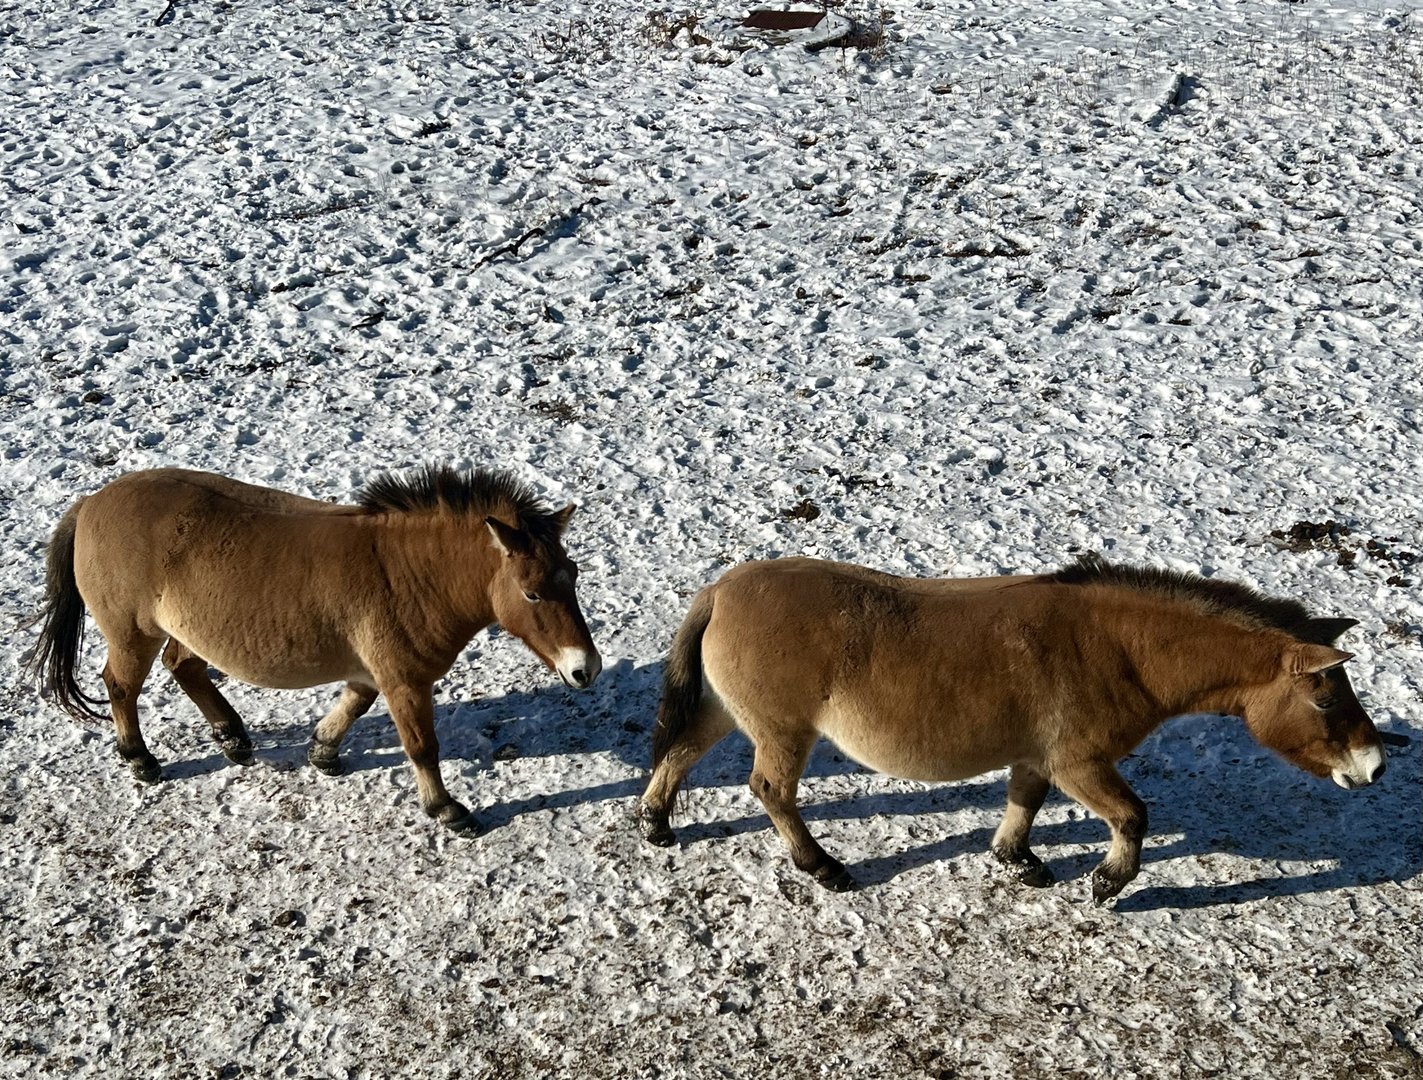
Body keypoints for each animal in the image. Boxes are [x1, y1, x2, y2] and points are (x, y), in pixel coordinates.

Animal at [31, 464, 602, 833]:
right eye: (531, 592)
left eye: (572, 575)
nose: (586, 669)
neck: (406, 570)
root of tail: (90, 503)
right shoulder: (404, 680)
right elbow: (422, 745)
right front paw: (446, 810)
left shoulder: (374, 672)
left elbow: (354, 703)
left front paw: (322, 751)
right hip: (133, 634)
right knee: (121, 686)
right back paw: (140, 758)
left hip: (186, 632)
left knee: (183, 667)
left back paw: (233, 738)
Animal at [638, 555, 1386, 902]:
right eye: (1325, 699)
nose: (1374, 766)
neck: (1119, 648)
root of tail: (723, 589)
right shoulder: (1080, 764)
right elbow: (1133, 817)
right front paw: (1108, 883)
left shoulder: (1038, 758)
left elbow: (1022, 803)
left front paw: (1017, 860)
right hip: (782, 731)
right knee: (771, 791)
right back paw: (821, 867)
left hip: (726, 711)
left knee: (681, 751)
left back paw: (656, 822)